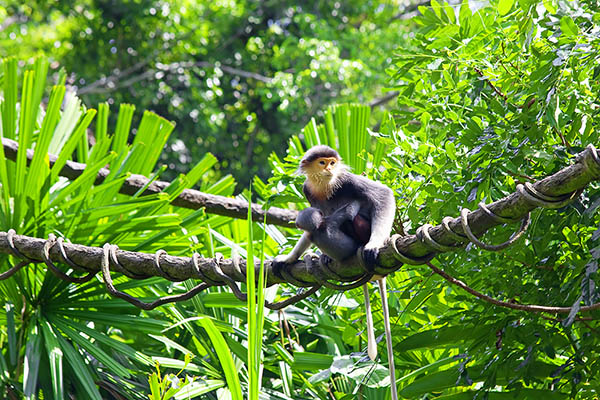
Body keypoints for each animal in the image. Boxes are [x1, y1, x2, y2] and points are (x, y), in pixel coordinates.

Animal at [276, 145, 398, 398]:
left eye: (333, 162)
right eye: (322, 163)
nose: (331, 169)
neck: (324, 186)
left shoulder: (347, 180)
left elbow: (383, 195)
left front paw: (373, 244)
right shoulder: (307, 190)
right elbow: (313, 220)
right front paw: (289, 258)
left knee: (354, 219)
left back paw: (360, 246)